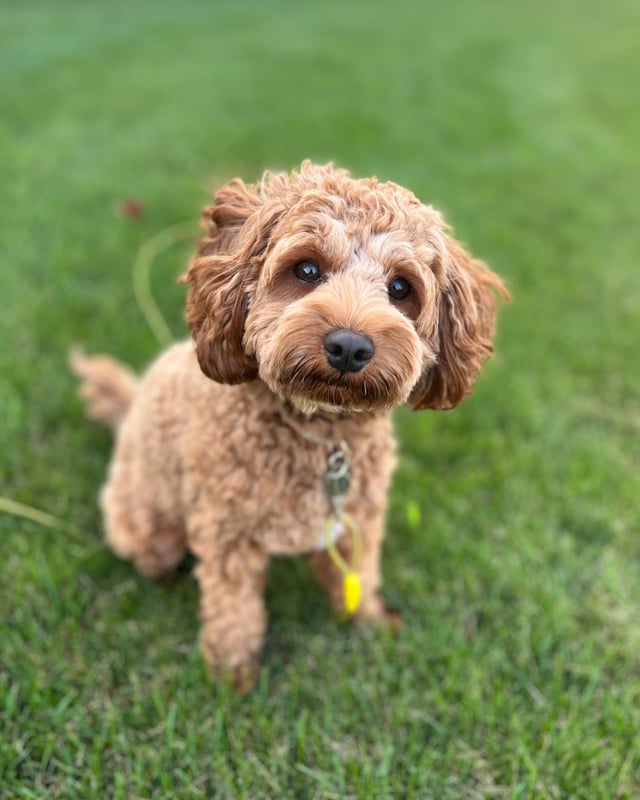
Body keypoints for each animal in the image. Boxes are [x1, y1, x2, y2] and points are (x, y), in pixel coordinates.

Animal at [71, 161, 510, 688]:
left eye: (401, 287)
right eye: (306, 270)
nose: (349, 347)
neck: (318, 430)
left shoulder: (359, 519)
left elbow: (357, 574)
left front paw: (369, 621)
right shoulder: (227, 534)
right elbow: (234, 608)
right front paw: (233, 670)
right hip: (148, 523)